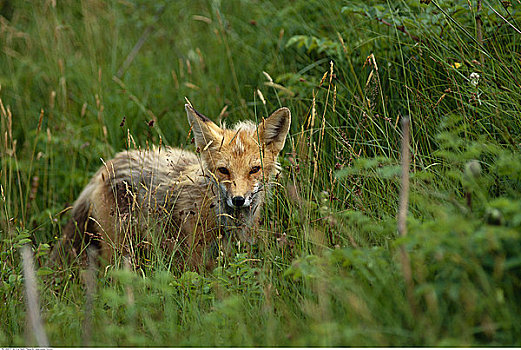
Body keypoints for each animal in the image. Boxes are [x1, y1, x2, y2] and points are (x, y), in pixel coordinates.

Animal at [54, 102, 290, 270]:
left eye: (254, 169)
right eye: (224, 170)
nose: (238, 200)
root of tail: (109, 165)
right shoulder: (196, 257)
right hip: (119, 249)